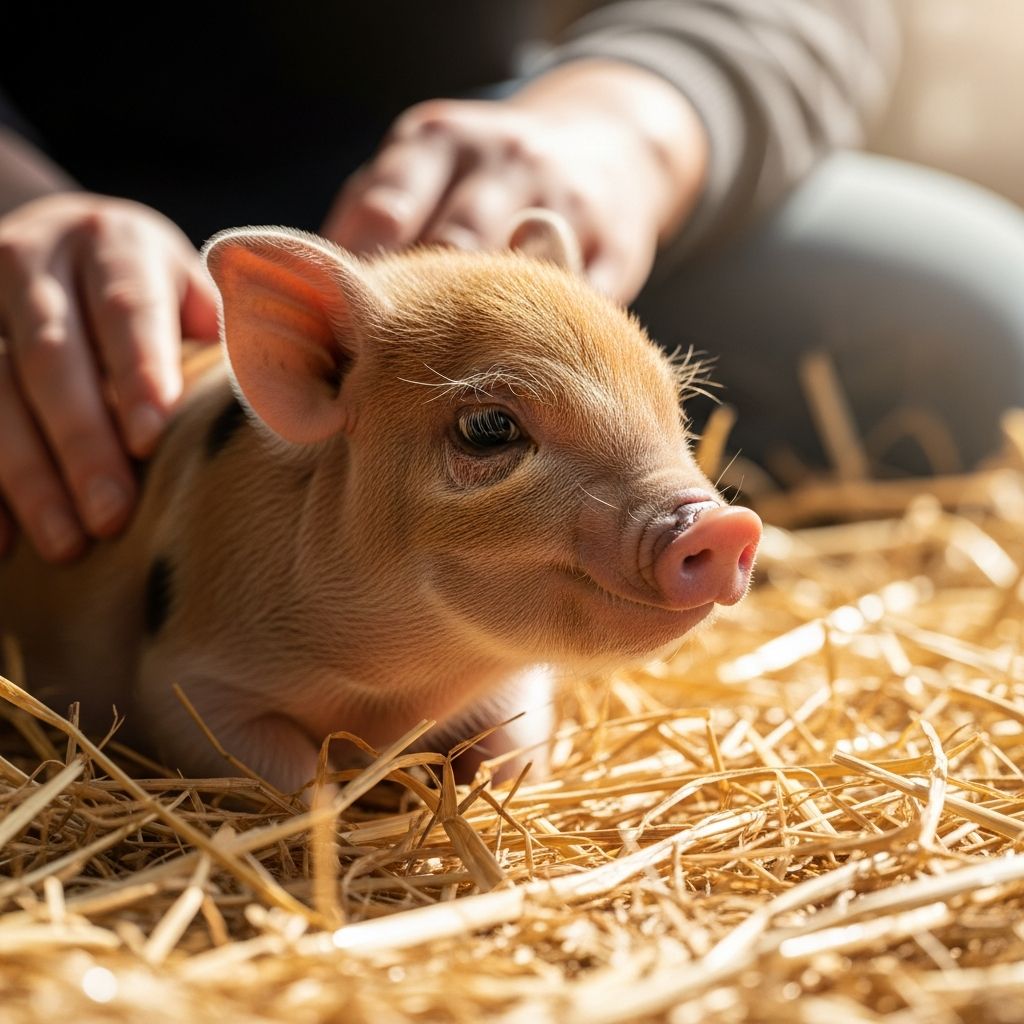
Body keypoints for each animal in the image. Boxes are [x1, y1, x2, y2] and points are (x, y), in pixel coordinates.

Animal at [0, 213, 761, 794]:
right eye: (490, 427)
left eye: (673, 404)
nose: (725, 523)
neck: (391, 692)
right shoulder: (187, 677)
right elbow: (292, 783)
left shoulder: (511, 689)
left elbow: (515, 750)